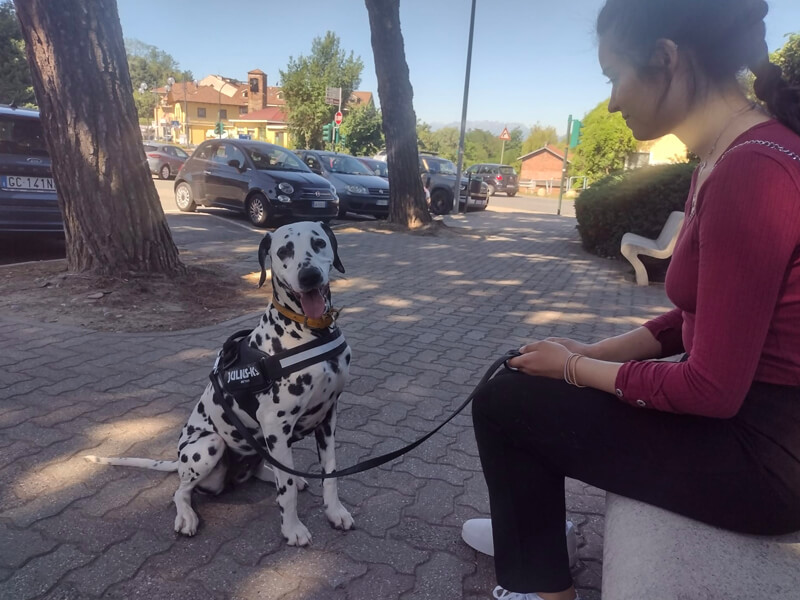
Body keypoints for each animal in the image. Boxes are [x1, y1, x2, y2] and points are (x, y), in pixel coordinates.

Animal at [83, 223, 354, 548]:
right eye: (284, 251)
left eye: (318, 243)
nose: (309, 276)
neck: (310, 332)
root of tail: (178, 461)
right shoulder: (276, 425)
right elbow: (285, 491)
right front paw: (292, 528)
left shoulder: (328, 418)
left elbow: (330, 473)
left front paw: (335, 512)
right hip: (209, 446)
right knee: (181, 491)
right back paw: (186, 516)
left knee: (268, 470)